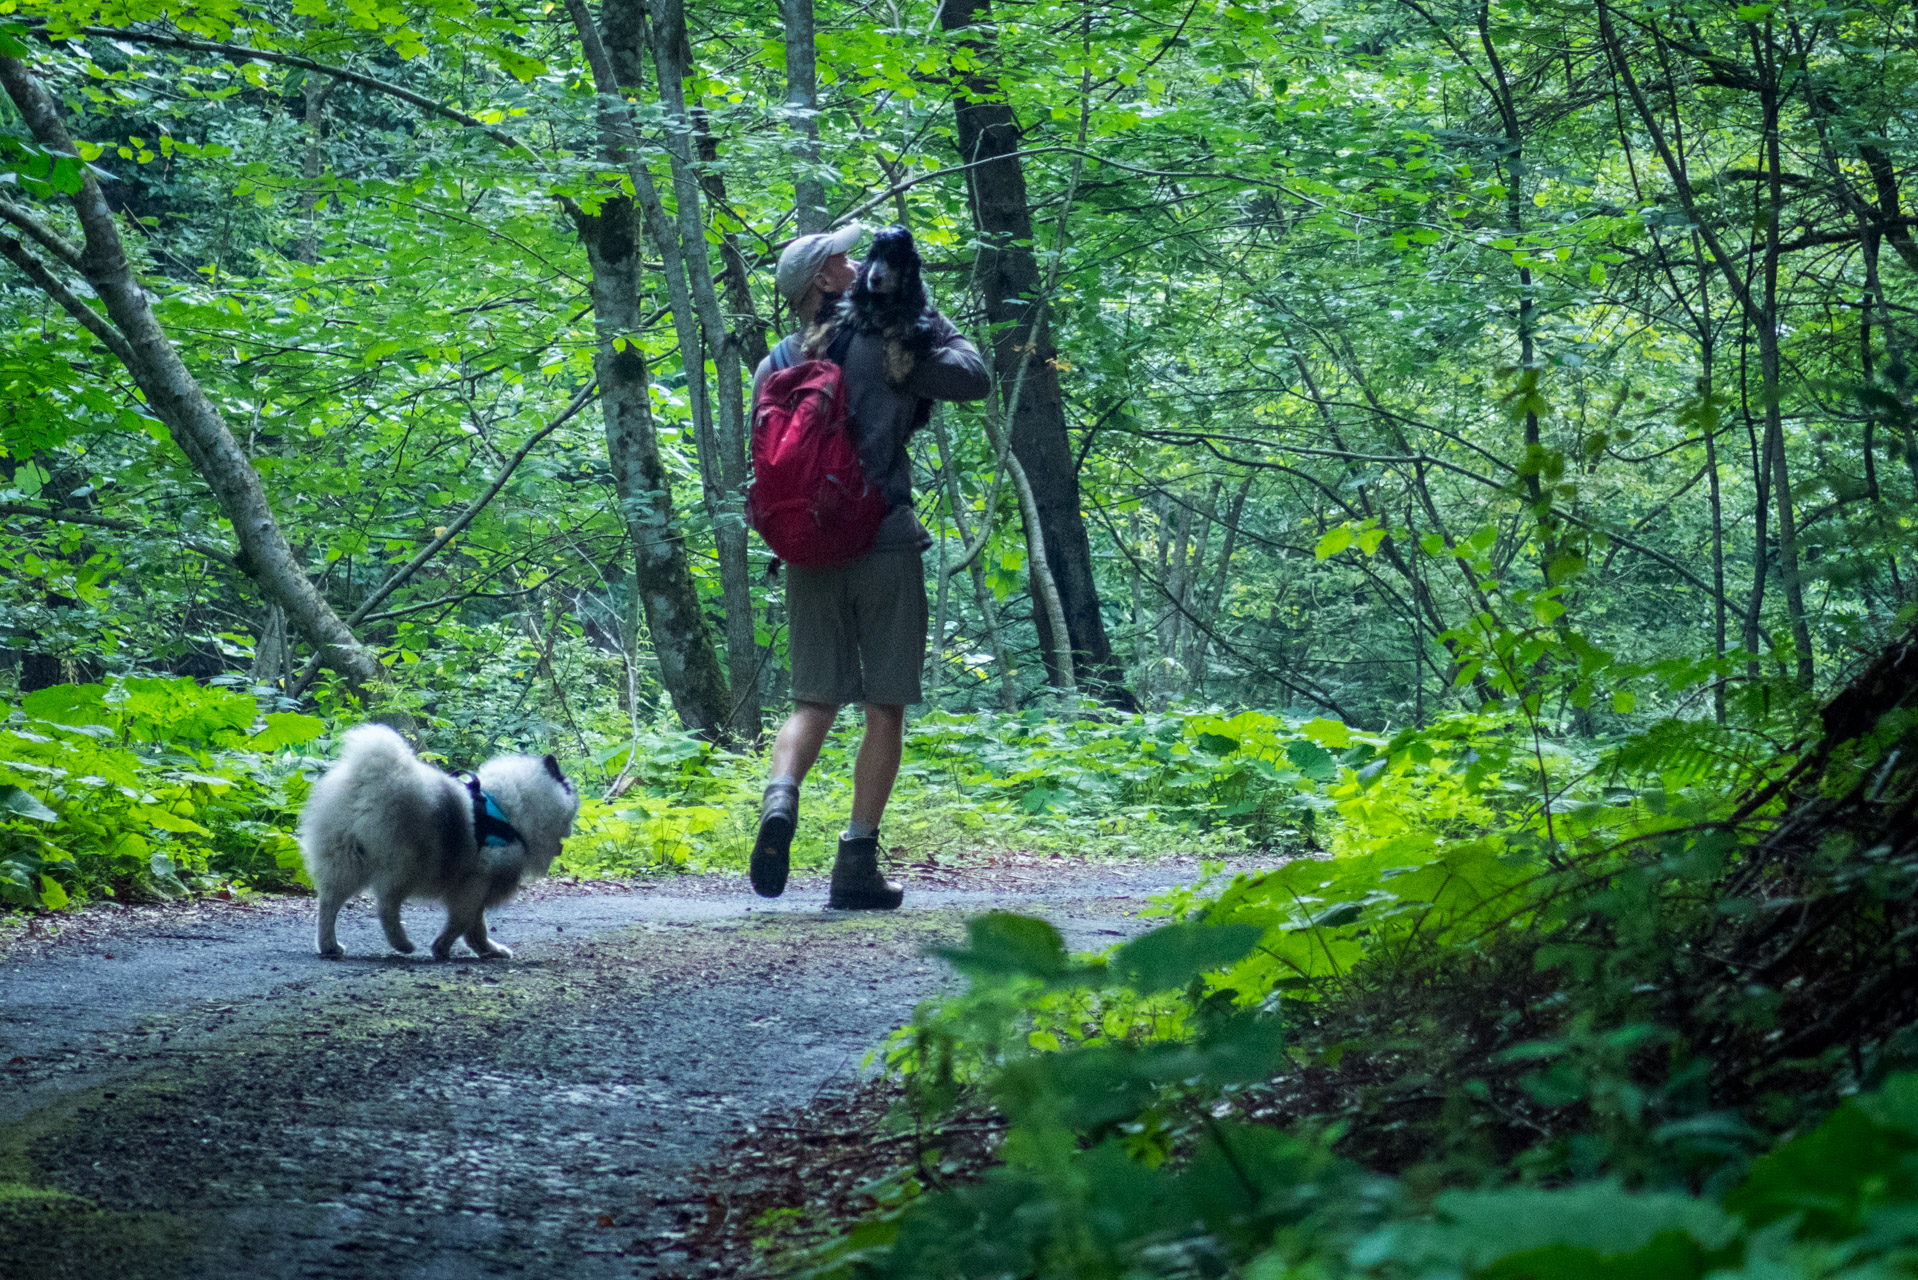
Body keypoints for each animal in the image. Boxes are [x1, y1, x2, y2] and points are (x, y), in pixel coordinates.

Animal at [295, 729, 579, 959]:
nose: (571, 831)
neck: (509, 811)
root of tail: (370, 782)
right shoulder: (476, 883)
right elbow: (463, 922)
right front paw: (443, 947)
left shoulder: (476, 888)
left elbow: (475, 926)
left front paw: (487, 950)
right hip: (405, 864)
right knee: (386, 905)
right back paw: (402, 943)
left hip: (345, 861)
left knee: (329, 904)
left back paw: (329, 945)